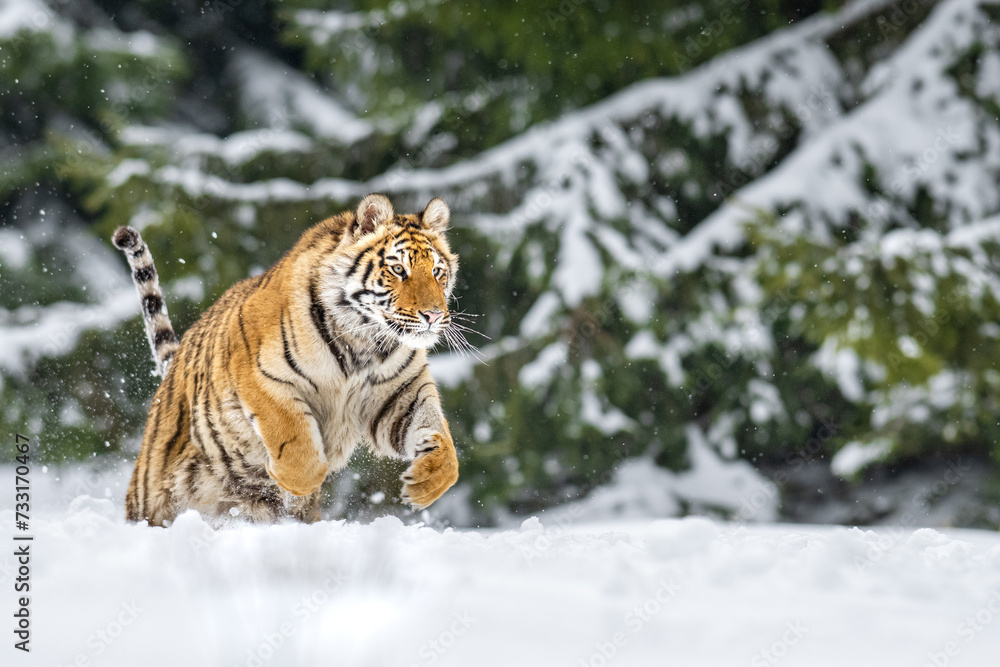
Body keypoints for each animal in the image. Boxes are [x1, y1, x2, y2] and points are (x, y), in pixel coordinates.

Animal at [112, 194, 461, 526]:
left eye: (437, 272)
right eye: (398, 269)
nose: (434, 316)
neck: (363, 342)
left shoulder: (399, 396)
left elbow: (443, 443)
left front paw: (426, 483)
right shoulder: (261, 378)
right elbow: (296, 444)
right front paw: (291, 480)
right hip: (150, 494)